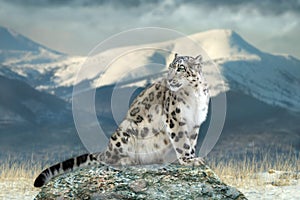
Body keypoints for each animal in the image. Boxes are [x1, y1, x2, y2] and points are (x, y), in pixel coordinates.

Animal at [33, 53, 209, 188]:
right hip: (125, 132)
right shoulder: (175, 119)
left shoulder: (195, 123)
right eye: (170, 67)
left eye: (181, 68)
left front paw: (193, 158)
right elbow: (182, 142)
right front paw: (189, 160)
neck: (195, 96)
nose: (170, 78)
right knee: (110, 160)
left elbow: (191, 142)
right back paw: (128, 160)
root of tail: (107, 149)